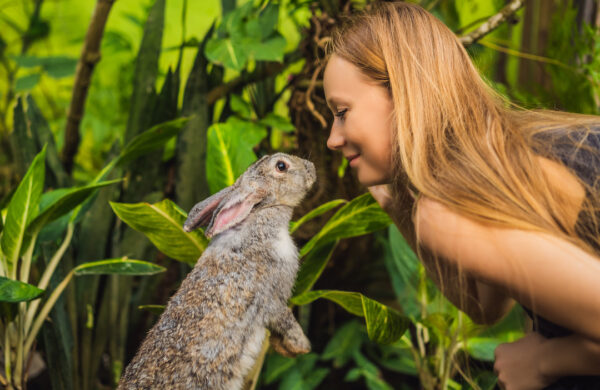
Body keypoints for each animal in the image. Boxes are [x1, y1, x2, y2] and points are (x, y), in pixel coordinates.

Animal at [116, 153, 314, 390]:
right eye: (281, 166)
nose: (312, 167)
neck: (259, 214)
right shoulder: (272, 297)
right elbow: (284, 319)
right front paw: (301, 346)